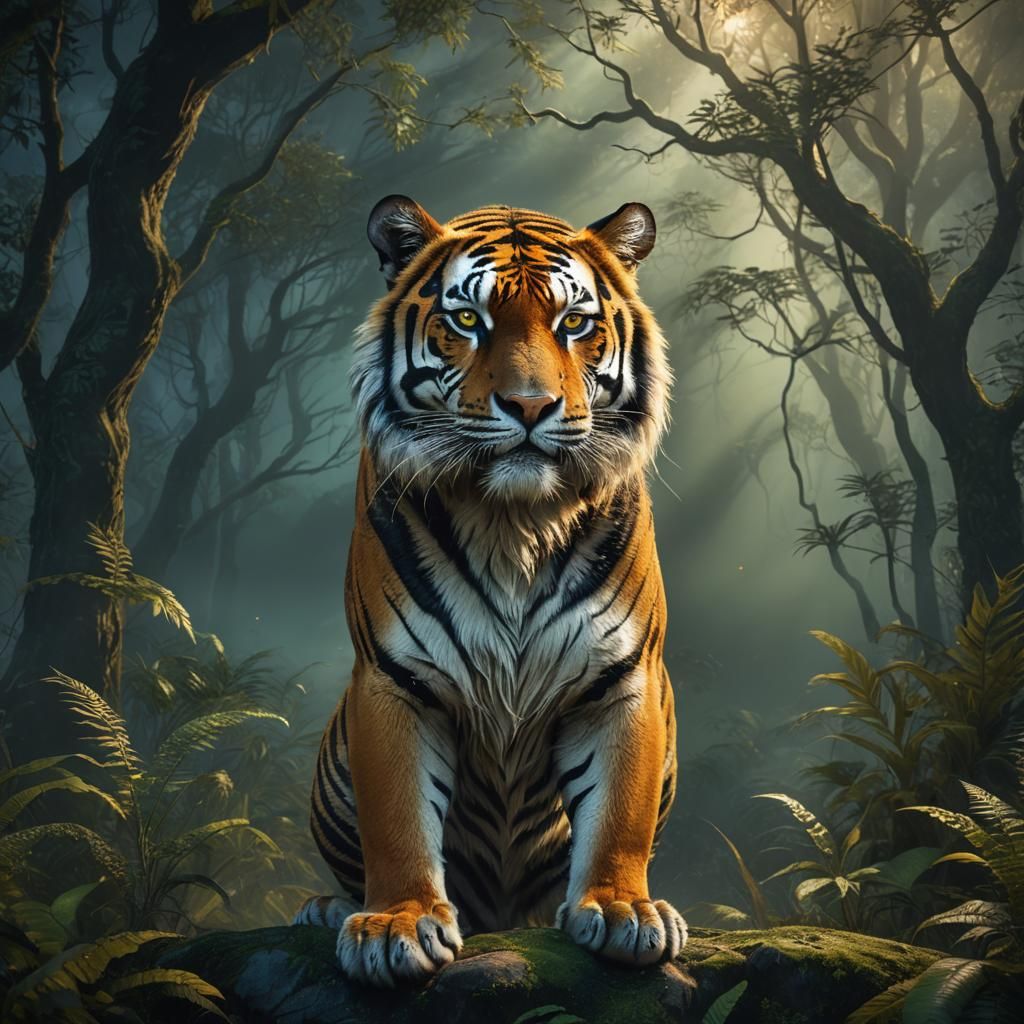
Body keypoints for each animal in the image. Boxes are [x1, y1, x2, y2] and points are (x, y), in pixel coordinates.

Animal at [293, 196, 685, 988]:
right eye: (468, 319)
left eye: (575, 323)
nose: (530, 406)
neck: (514, 521)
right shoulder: (392, 678)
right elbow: (397, 818)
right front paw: (396, 924)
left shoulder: (625, 675)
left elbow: (619, 810)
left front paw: (623, 910)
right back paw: (325, 909)